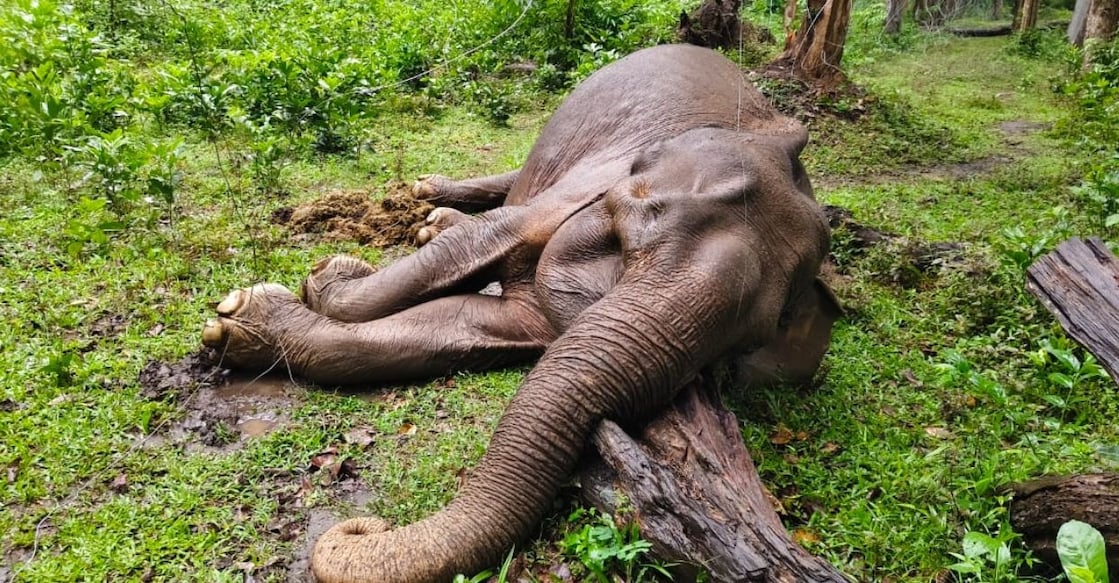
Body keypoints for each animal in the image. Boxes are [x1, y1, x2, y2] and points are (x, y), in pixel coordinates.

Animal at [200, 44, 841, 583]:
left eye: (750, 338)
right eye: (625, 239)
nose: (363, 530)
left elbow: (475, 325)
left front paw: (247, 319)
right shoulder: (588, 183)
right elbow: (482, 240)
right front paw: (301, 285)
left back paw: (433, 217)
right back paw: (427, 201)